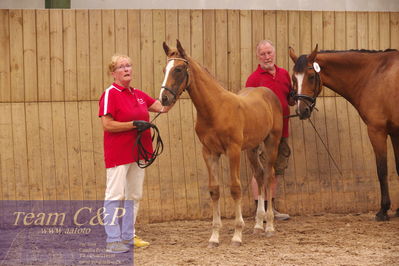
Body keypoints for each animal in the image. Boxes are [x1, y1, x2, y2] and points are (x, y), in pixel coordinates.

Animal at [160, 40, 284, 247]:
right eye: (164, 69)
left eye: (178, 69)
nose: (164, 98)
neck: (214, 109)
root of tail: (267, 92)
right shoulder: (209, 152)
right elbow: (214, 190)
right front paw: (214, 237)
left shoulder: (233, 150)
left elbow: (235, 188)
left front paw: (237, 235)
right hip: (251, 148)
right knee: (259, 175)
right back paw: (258, 225)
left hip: (271, 142)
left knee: (268, 175)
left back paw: (270, 227)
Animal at [290, 45, 399, 220]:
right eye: (293, 78)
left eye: (312, 76)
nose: (302, 110)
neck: (374, 74)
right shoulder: (395, 133)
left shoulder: (377, 131)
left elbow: (382, 170)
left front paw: (383, 210)